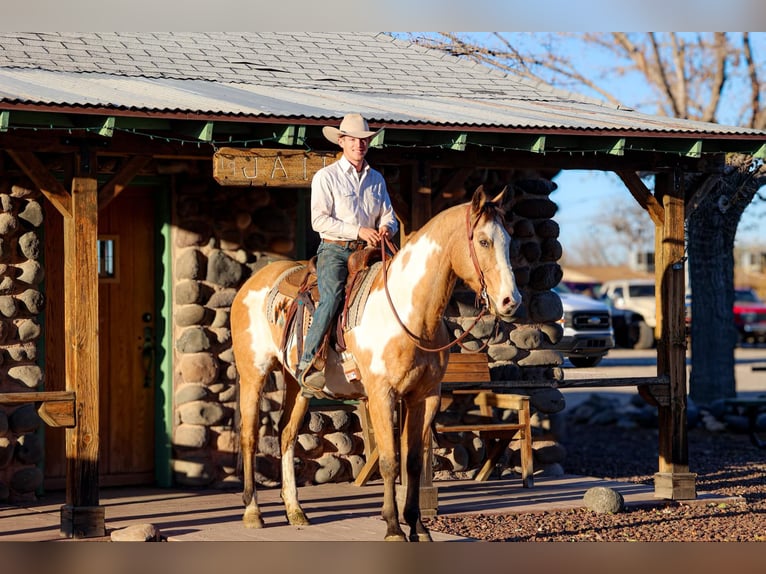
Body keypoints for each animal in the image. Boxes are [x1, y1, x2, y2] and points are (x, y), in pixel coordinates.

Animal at [231, 186, 524, 544]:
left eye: (509, 240)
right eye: (483, 241)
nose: (511, 301)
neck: (409, 313)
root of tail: (252, 283)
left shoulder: (425, 396)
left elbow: (413, 462)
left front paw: (418, 527)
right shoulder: (382, 395)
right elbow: (388, 461)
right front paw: (393, 528)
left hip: (296, 384)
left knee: (286, 435)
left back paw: (295, 511)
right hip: (253, 374)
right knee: (250, 437)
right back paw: (253, 512)